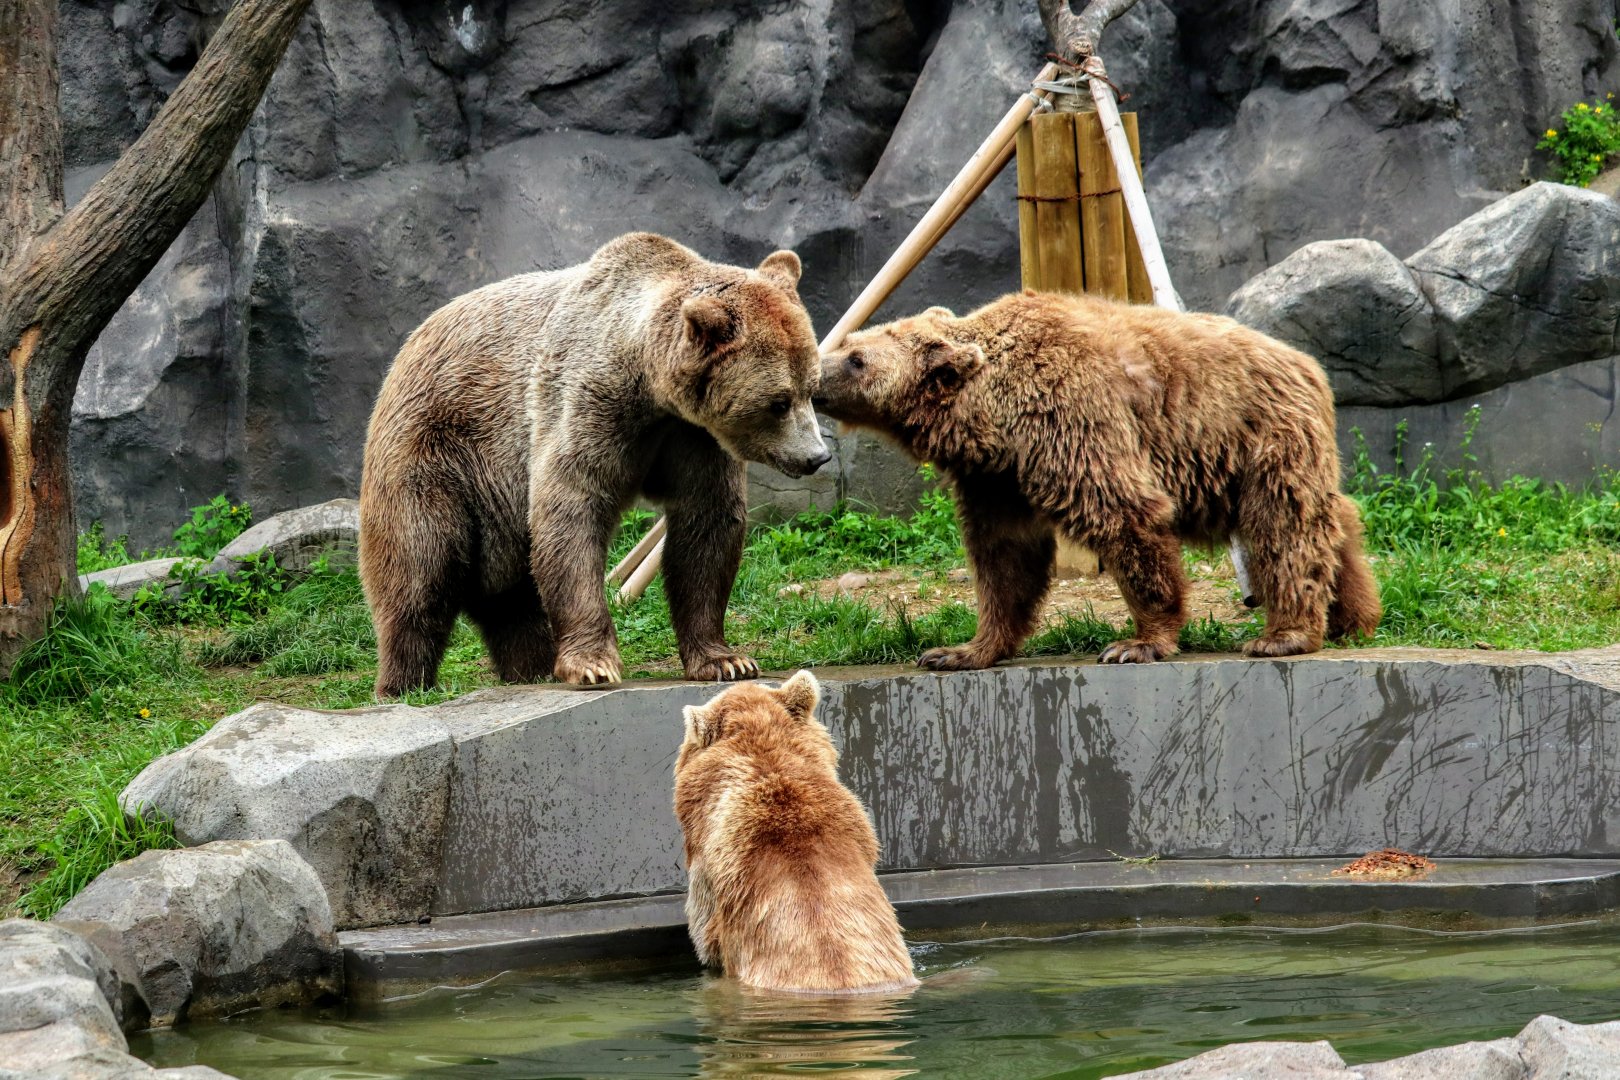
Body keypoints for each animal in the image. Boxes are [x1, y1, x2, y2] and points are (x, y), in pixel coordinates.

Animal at [359, 233, 830, 695]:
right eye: (779, 402)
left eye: (812, 389)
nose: (817, 456)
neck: (648, 383)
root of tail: (408, 346)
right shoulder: (587, 404)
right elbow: (571, 511)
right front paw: (593, 665)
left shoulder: (693, 438)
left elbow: (706, 525)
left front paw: (726, 660)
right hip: (438, 453)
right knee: (420, 568)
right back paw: (403, 684)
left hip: (495, 507)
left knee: (512, 596)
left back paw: (532, 667)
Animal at [813, 290, 1381, 668]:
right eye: (852, 341)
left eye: (857, 359)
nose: (816, 373)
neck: (995, 417)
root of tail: (1306, 363)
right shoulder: (996, 479)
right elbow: (1004, 557)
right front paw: (959, 649)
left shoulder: (1073, 416)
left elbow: (1123, 513)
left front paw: (1137, 642)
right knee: (1333, 516)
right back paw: (1353, 614)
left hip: (1256, 435)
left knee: (1283, 525)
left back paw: (1284, 634)